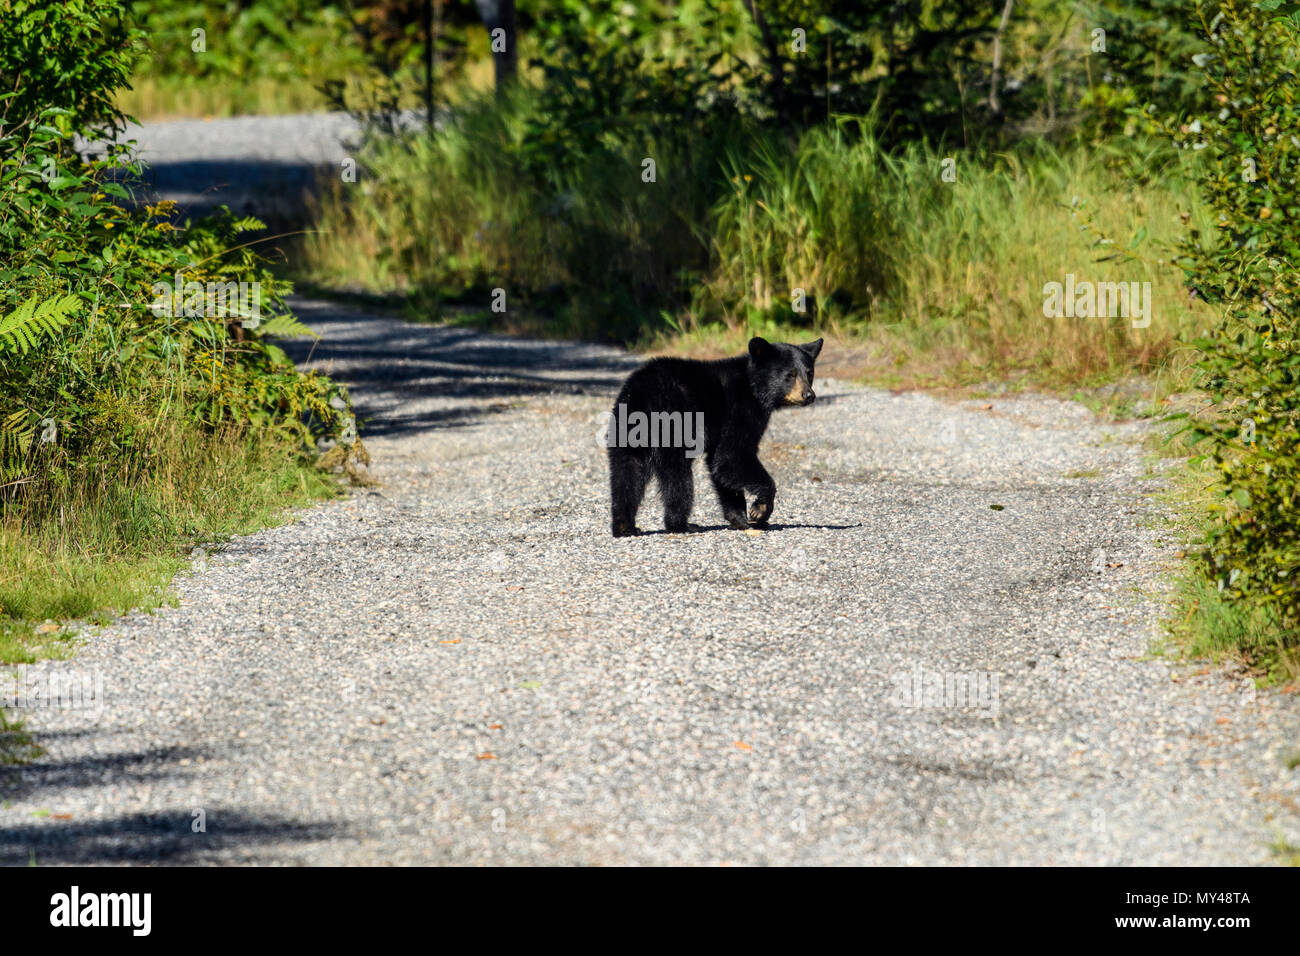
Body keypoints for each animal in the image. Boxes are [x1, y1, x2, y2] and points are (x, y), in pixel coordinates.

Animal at [605, 335, 821, 535]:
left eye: (809, 373)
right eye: (790, 374)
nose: (809, 395)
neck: (753, 387)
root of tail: (642, 393)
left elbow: (720, 466)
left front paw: (740, 519)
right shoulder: (740, 411)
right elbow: (732, 455)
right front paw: (759, 511)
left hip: (625, 429)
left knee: (626, 472)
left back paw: (625, 526)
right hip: (674, 423)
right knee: (677, 476)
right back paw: (682, 524)